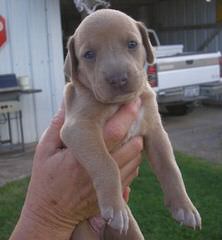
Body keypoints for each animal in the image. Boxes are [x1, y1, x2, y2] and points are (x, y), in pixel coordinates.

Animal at [60, 8, 201, 239]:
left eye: (132, 44)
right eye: (89, 54)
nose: (118, 79)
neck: (121, 102)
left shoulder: (155, 131)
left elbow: (170, 166)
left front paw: (185, 208)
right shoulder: (79, 127)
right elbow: (106, 163)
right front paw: (115, 208)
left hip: (132, 232)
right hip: (81, 233)